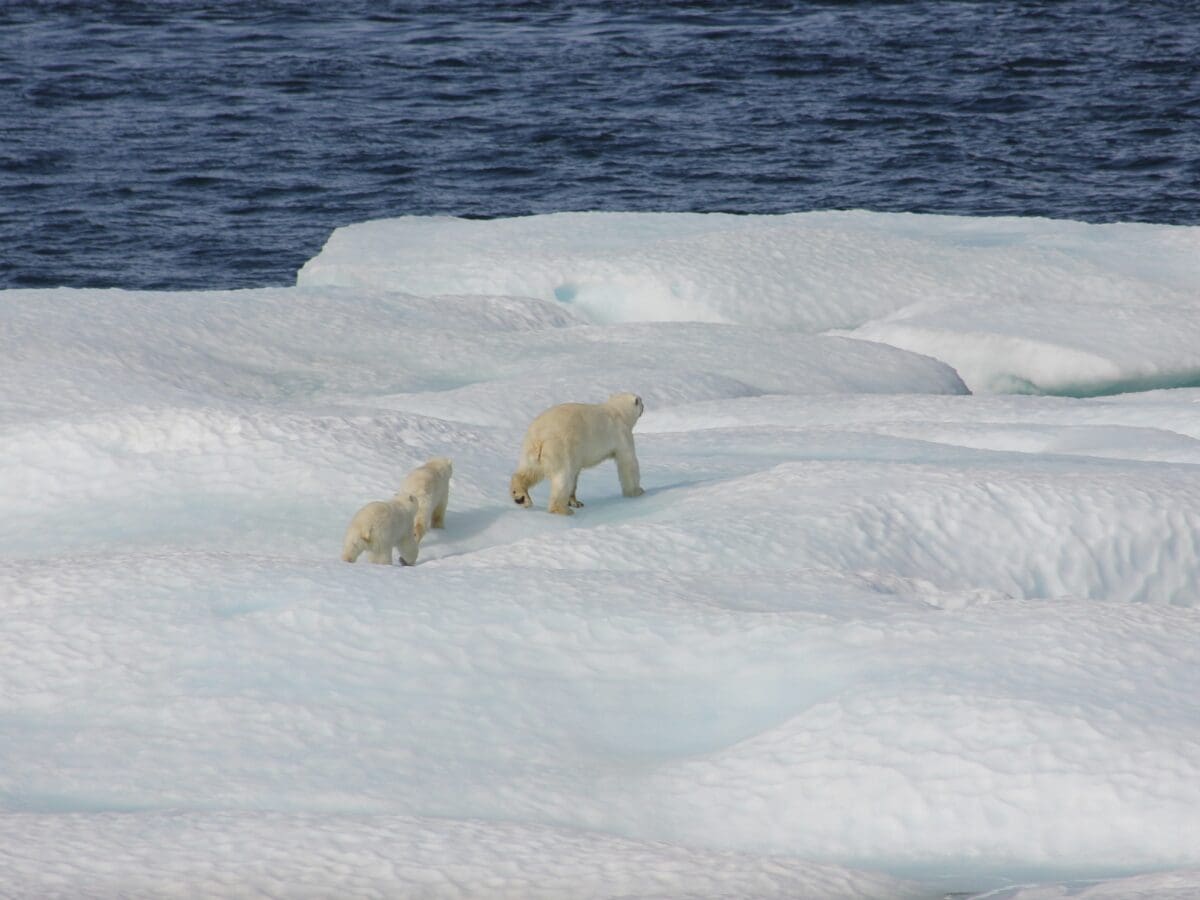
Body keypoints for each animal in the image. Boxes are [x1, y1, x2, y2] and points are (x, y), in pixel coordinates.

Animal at [510, 392, 645, 515]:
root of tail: (540, 437)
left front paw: (575, 502)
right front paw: (637, 491)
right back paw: (563, 510)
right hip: (560, 448)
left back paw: (520, 497)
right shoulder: (621, 434)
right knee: (562, 478)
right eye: (640, 400)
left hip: (531, 449)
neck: (618, 411)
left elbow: (575, 474)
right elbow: (628, 463)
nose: (643, 406)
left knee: (529, 471)